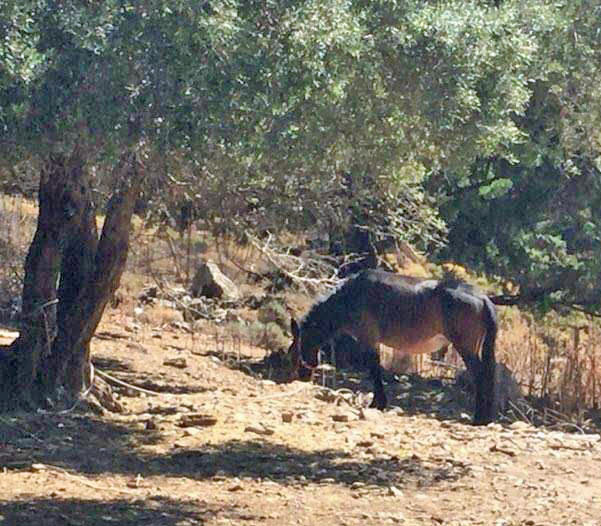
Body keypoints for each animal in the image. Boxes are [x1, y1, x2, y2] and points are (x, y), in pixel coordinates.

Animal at [288, 270, 500, 426]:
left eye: (295, 349)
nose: (302, 375)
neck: (350, 296)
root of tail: (484, 298)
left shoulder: (369, 339)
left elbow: (374, 369)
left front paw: (377, 403)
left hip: (466, 348)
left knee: (480, 375)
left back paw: (479, 418)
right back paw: (485, 417)